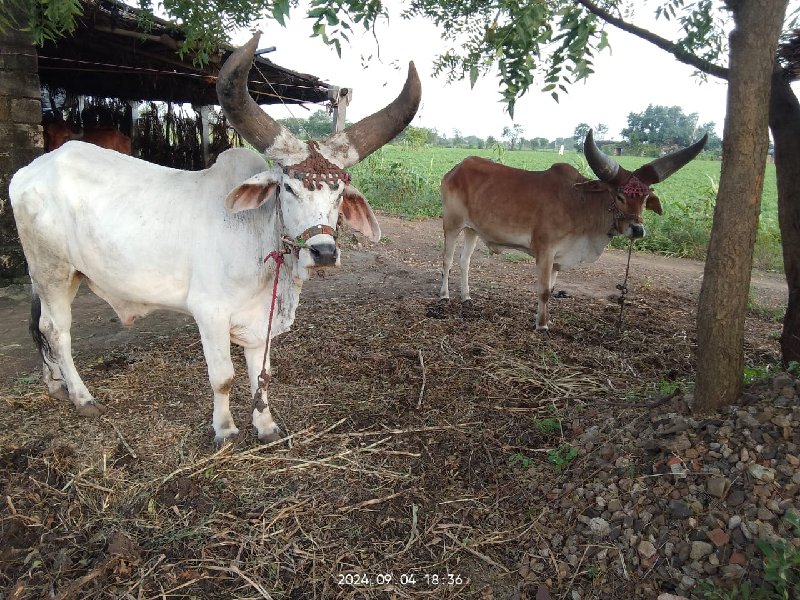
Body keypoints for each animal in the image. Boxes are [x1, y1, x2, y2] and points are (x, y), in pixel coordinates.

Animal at [9, 34, 422, 446]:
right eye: (287, 188)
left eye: (338, 191)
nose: (323, 252)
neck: (257, 242)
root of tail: (28, 171)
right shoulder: (209, 313)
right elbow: (223, 378)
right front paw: (224, 430)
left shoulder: (260, 322)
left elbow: (261, 375)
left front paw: (265, 426)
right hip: (52, 270)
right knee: (57, 330)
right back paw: (82, 397)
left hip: (61, 275)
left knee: (41, 326)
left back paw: (55, 385)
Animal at [440, 128, 708, 330]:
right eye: (620, 195)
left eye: (644, 198)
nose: (637, 230)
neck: (580, 204)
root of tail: (456, 168)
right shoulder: (545, 251)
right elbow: (544, 291)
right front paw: (542, 326)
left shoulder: (559, 259)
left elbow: (551, 290)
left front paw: (546, 320)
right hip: (452, 224)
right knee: (448, 261)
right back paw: (444, 296)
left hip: (472, 230)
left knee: (464, 262)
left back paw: (466, 297)